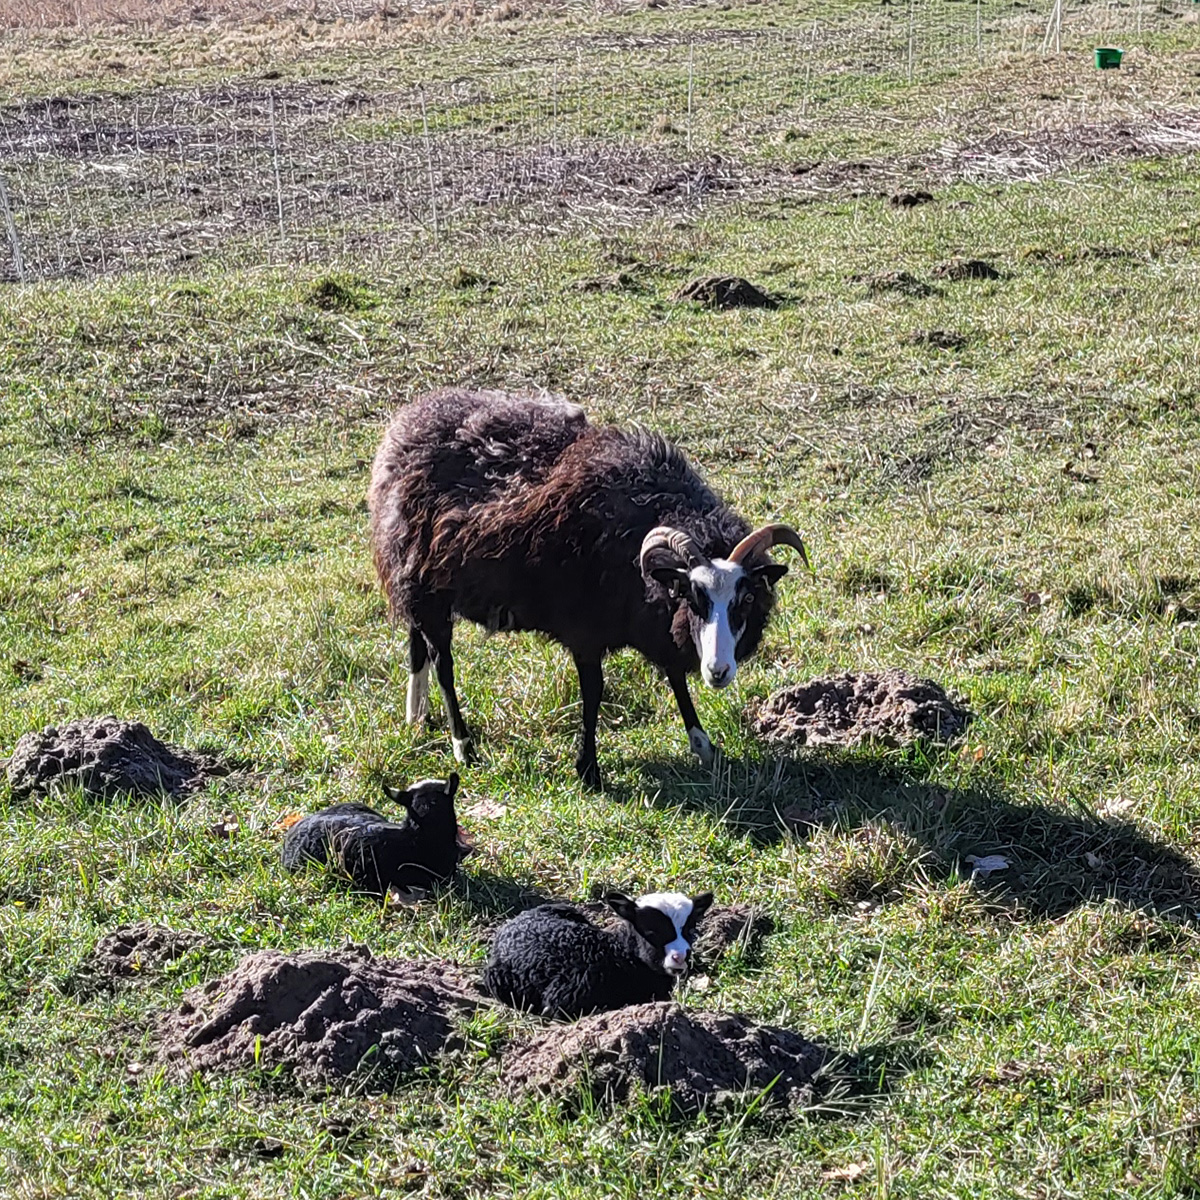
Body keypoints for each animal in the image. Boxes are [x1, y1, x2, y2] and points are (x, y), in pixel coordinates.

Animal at [369, 388, 811, 792]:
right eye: (693, 597)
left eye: (746, 598)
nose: (718, 672)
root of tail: (403, 429)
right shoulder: (585, 632)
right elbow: (594, 693)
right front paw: (589, 769)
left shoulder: (653, 622)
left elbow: (674, 676)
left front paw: (703, 744)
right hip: (427, 592)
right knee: (443, 662)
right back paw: (463, 744)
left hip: (418, 584)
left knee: (416, 643)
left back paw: (417, 717)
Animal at [482, 888, 715, 1017]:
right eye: (651, 932)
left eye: (690, 929)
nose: (680, 957)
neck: (616, 955)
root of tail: (514, 922)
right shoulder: (562, 1004)